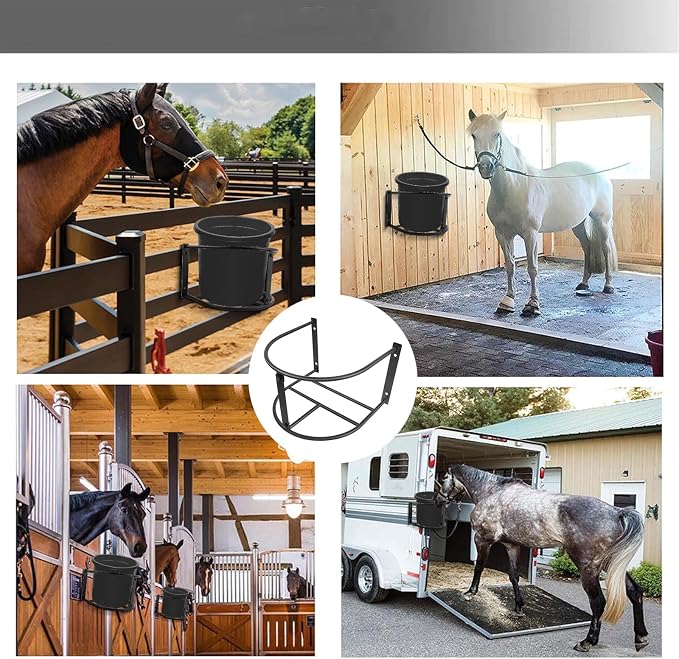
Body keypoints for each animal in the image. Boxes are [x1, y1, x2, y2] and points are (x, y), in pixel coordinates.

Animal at [441, 465, 648, 653]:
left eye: (443, 478)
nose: (438, 500)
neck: (491, 491)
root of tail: (617, 513)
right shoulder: (512, 546)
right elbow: (513, 576)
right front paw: (518, 607)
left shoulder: (483, 540)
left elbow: (479, 566)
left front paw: (470, 592)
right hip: (610, 563)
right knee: (634, 591)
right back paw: (641, 637)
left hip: (588, 567)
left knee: (598, 603)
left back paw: (587, 642)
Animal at [467, 110, 618, 316]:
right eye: (474, 135)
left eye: (497, 134)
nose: (486, 167)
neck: (515, 188)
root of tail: (598, 172)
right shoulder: (503, 234)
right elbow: (510, 265)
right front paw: (508, 300)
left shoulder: (530, 234)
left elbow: (532, 268)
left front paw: (533, 304)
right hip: (578, 224)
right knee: (587, 247)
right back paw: (583, 284)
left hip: (602, 221)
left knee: (606, 248)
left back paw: (608, 286)